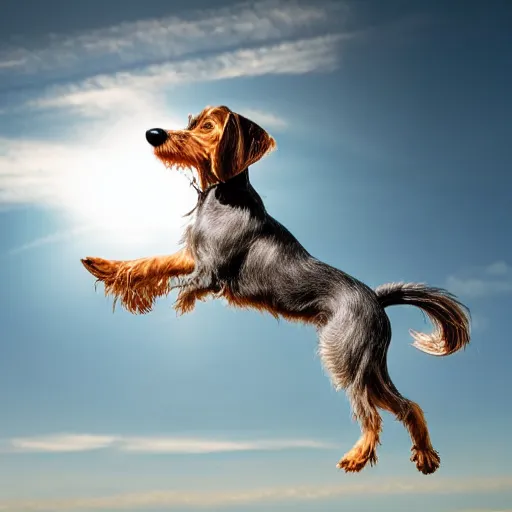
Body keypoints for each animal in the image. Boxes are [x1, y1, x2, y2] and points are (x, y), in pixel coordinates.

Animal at [81, 105, 472, 476]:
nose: (154, 134)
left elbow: (176, 286)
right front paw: (104, 267)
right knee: (408, 406)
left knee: (371, 413)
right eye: (190, 122)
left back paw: (358, 456)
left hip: (343, 356)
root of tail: (376, 298)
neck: (220, 196)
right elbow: (149, 263)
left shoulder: (209, 275)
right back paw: (425, 457)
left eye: (207, 126)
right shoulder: (191, 256)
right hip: (370, 364)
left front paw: (153, 300)